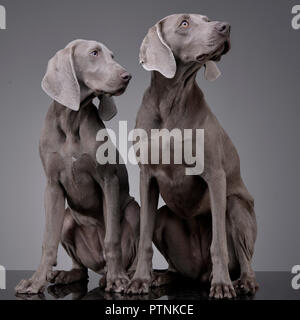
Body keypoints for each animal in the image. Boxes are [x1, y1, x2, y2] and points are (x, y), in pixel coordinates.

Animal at [14, 39, 140, 296]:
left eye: (113, 56)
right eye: (94, 53)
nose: (127, 76)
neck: (71, 120)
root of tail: (99, 266)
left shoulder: (108, 180)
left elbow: (112, 239)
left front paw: (118, 280)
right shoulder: (52, 186)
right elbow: (48, 241)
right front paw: (35, 281)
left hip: (134, 210)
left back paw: (121, 276)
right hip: (67, 218)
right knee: (81, 269)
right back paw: (67, 274)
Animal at [126, 14, 258, 300]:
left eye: (206, 20)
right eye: (184, 23)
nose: (225, 27)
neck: (171, 100)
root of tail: (199, 273)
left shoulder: (215, 176)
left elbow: (218, 243)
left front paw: (222, 285)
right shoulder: (146, 176)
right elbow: (143, 238)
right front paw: (140, 280)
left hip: (236, 207)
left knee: (244, 257)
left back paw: (242, 281)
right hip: (164, 217)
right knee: (175, 266)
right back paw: (162, 277)